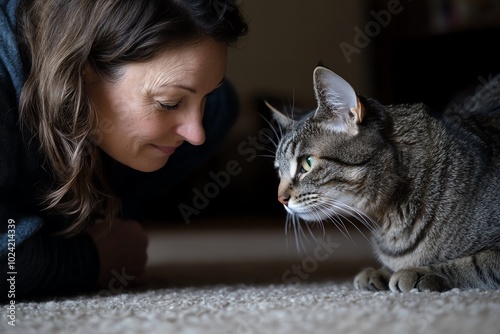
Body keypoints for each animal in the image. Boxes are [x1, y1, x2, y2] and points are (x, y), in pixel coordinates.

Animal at [272, 66, 498, 290]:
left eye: (307, 163)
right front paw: (380, 272)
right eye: (278, 170)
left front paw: (418, 272)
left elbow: (477, 263)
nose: (280, 199)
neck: (386, 219)